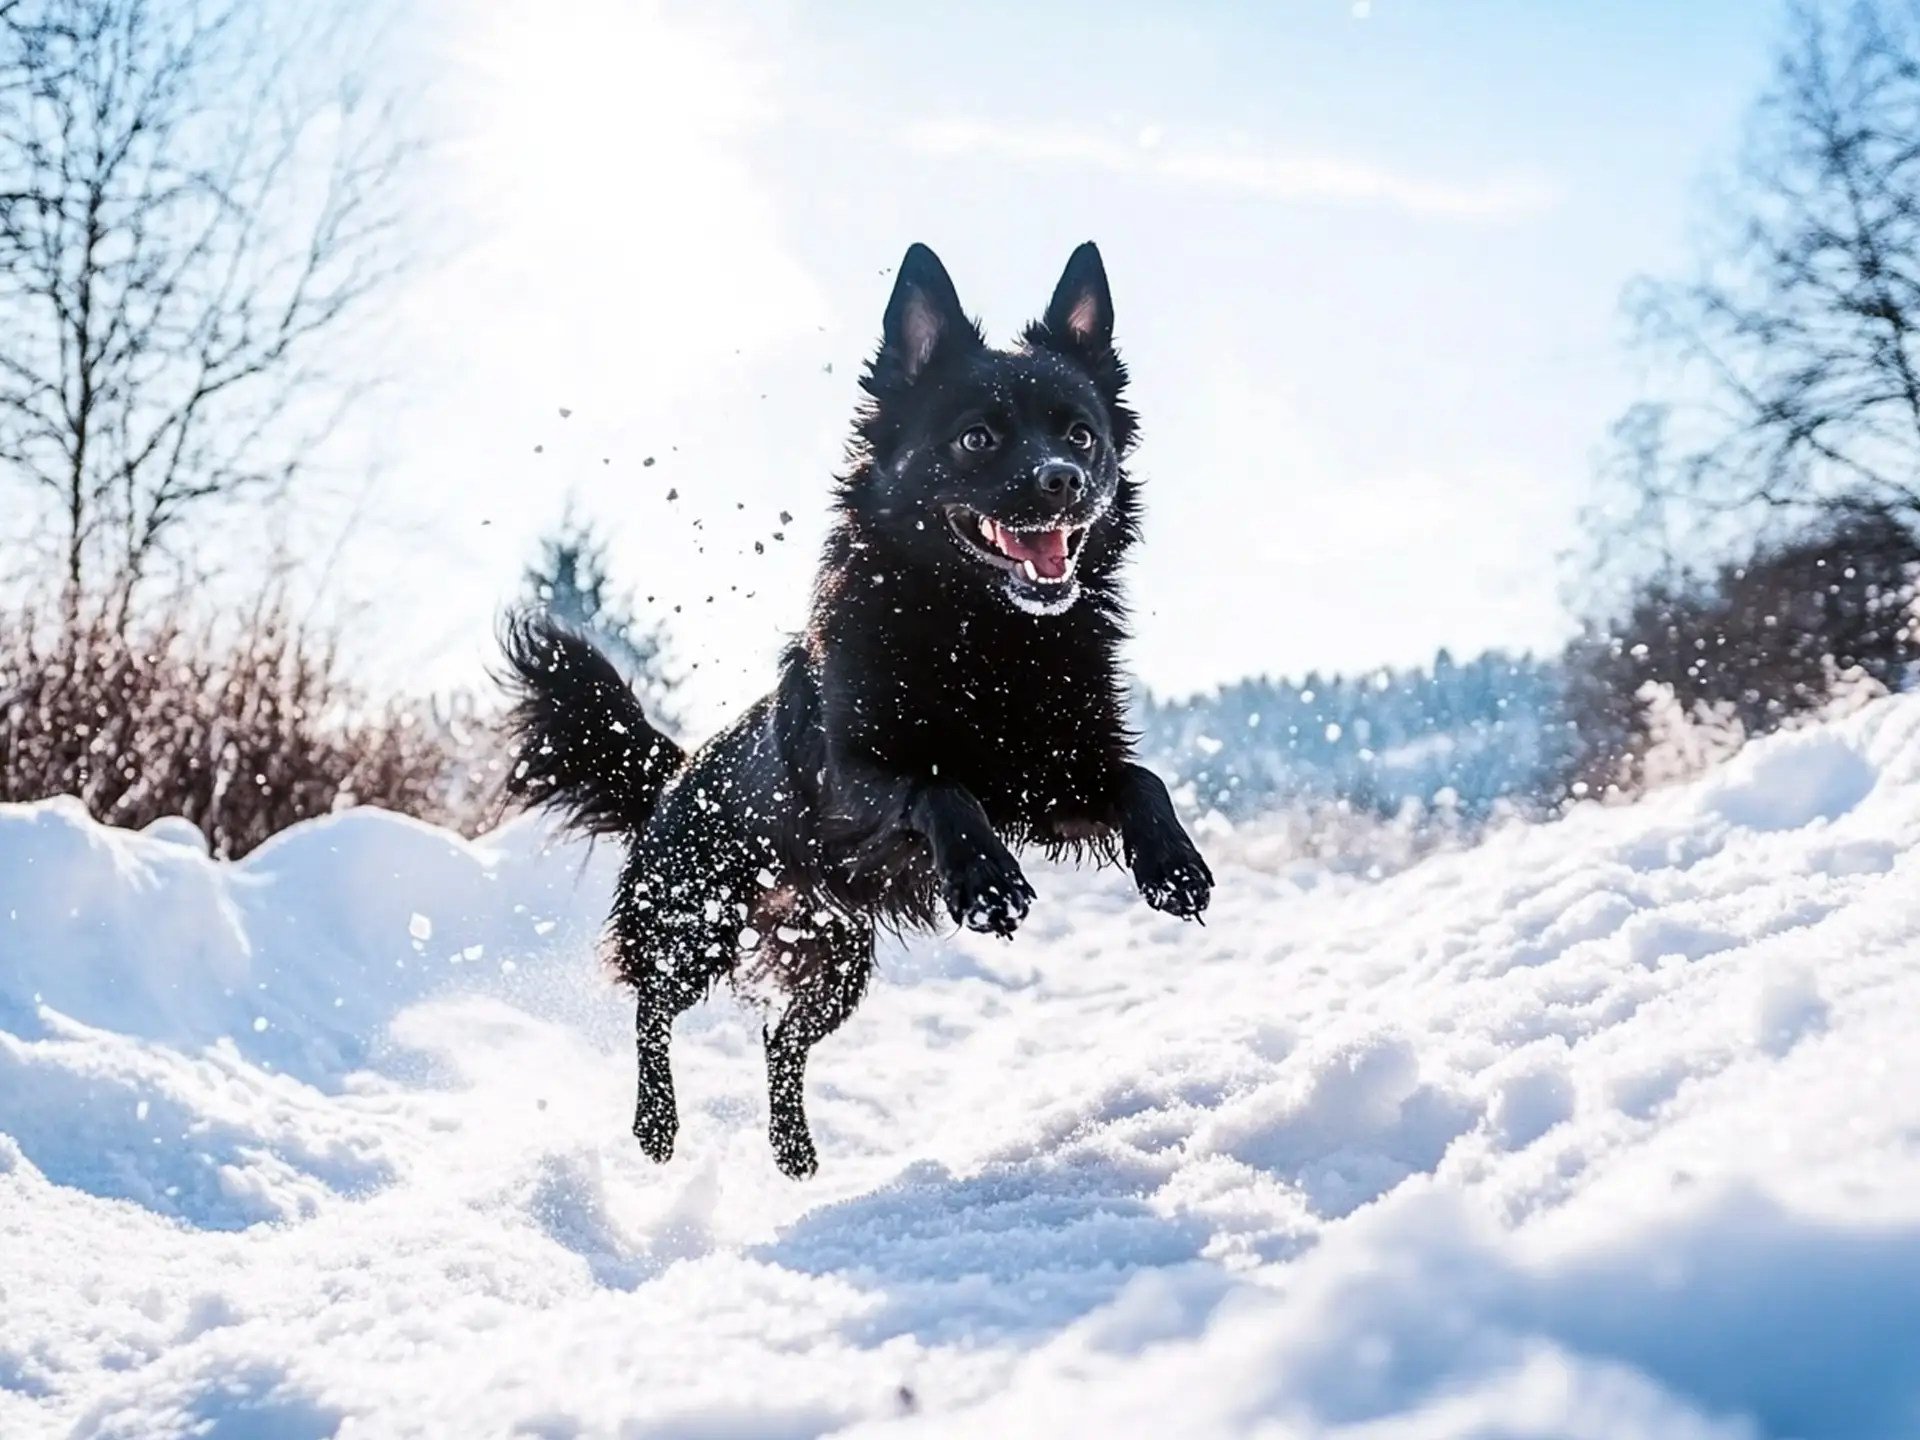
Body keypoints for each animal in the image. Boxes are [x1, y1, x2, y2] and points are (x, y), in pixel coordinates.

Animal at [499, 242, 1213, 1175]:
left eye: (1080, 436)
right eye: (977, 438)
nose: (1062, 481)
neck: (984, 639)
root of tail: (674, 774)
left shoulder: (1051, 783)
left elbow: (1142, 779)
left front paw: (1173, 865)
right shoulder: (851, 784)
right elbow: (937, 787)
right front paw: (987, 881)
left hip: (836, 960)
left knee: (780, 1039)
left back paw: (794, 1152)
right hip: (695, 925)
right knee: (651, 1005)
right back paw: (656, 1124)